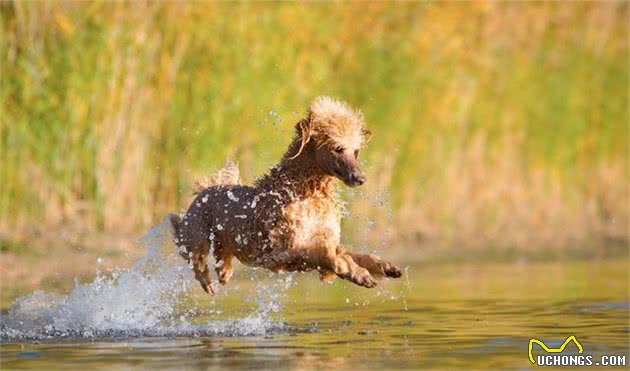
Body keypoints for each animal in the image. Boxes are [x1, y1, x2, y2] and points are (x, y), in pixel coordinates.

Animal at [170, 97, 402, 294]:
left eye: (355, 151)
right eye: (338, 148)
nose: (360, 178)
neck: (305, 192)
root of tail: (205, 190)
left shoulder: (323, 240)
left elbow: (350, 254)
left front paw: (384, 266)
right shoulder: (283, 252)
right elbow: (330, 257)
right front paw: (358, 273)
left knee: (221, 255)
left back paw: (224, 271)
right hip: (196, 234)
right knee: (196, 257)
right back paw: (207, 280)